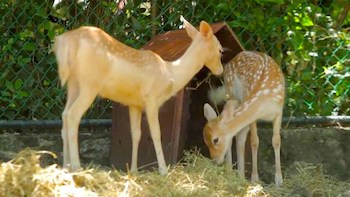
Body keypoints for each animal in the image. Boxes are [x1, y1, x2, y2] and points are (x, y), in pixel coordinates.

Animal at [54, 16, 224, 174]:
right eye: (221, 49)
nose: (220, 70)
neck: (170, 74)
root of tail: (66, 42)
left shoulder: (134, 103)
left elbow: (136, 134)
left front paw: (134, 170)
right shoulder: (151, 99)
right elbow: (156, 134)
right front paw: (163, 170)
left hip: (73, 84)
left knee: (64, 115)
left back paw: (65, 166)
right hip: (90, 84)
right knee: (73, 115)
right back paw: (76, 167)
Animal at [202, 50, 284, 186]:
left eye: (215, 140)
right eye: (204, 141)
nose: (214, 160)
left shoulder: (279, 111)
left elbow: (276, 141)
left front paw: (279, 180)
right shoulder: (253, 116)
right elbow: (254, 141)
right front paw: (254, 178)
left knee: (239, 136)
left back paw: (240, 175)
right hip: (232, 93)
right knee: (236, 136)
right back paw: (231, 172)